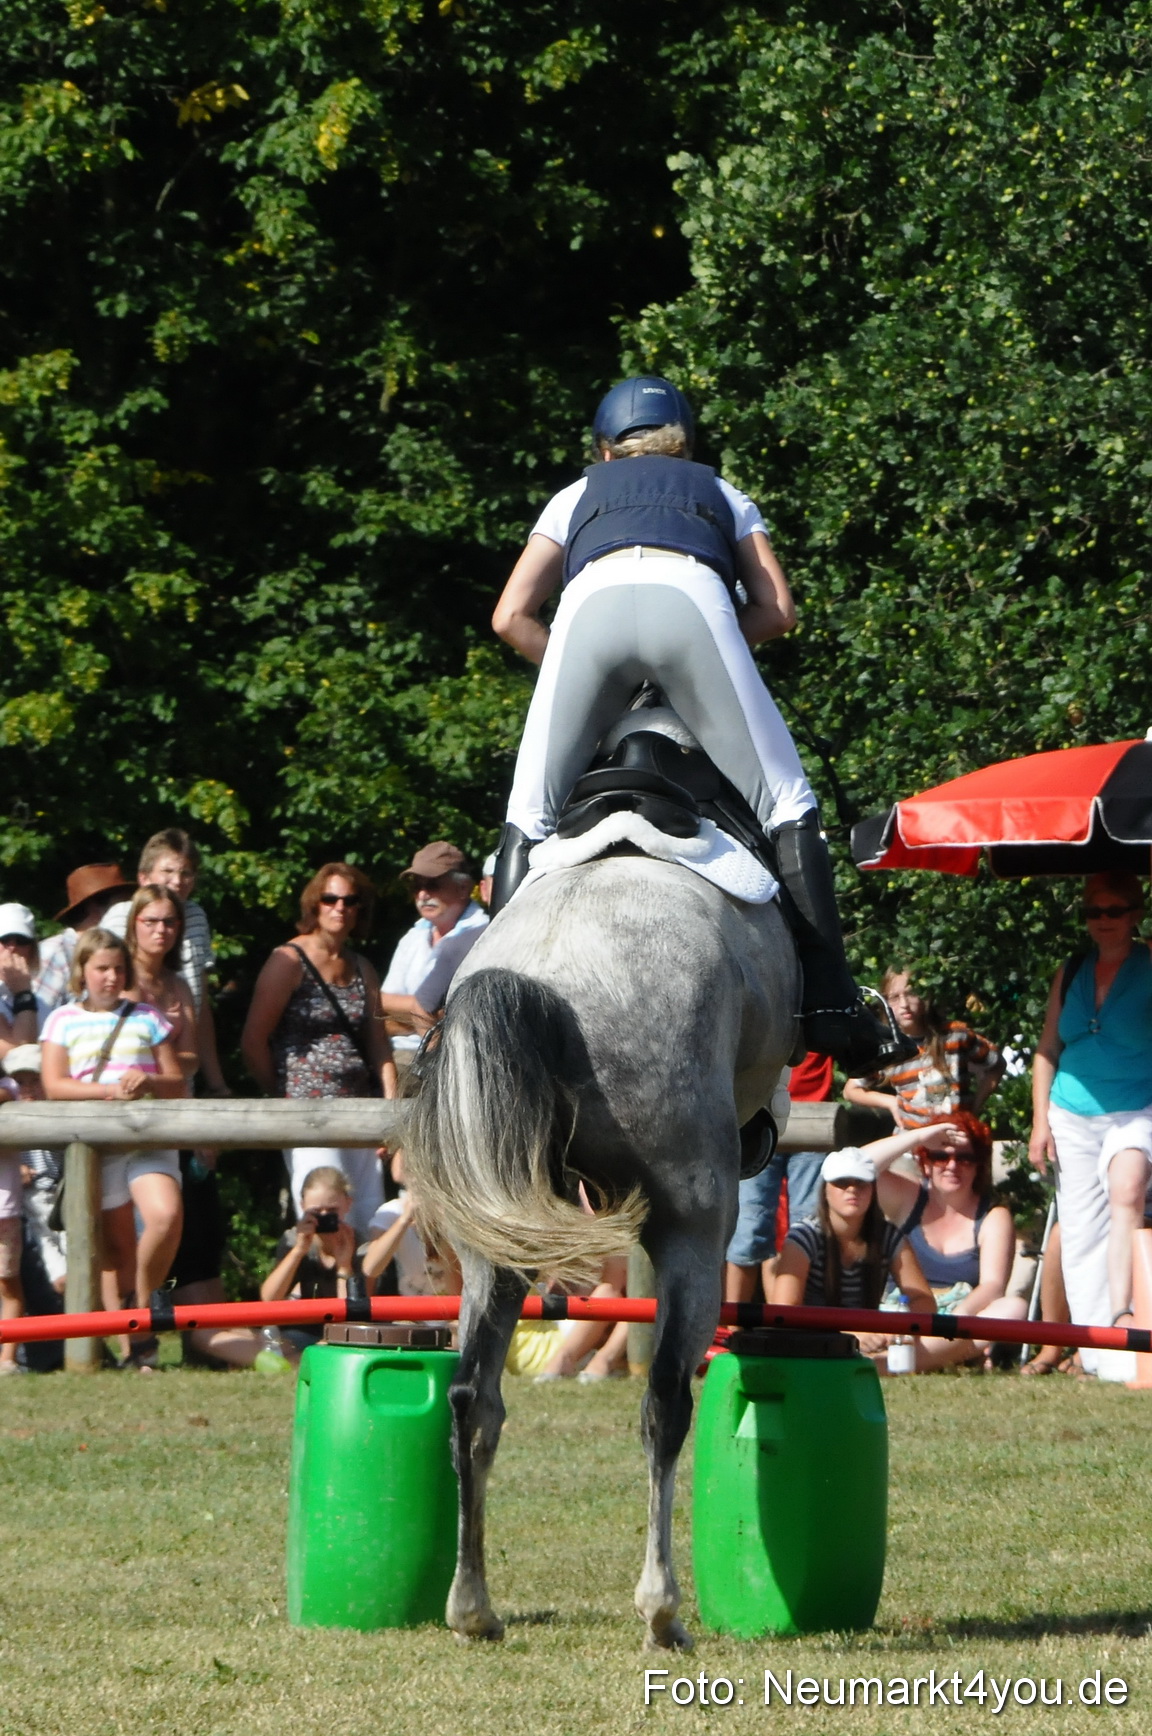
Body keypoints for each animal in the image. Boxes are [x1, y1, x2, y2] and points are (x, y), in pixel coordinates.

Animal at [404, 850, 799, 1650]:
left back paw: (473, 1607)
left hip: (492, 1244)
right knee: (665, 1404)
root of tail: (549, 970)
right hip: (690, 1228)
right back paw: (661, 1608)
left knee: (472, 1400)